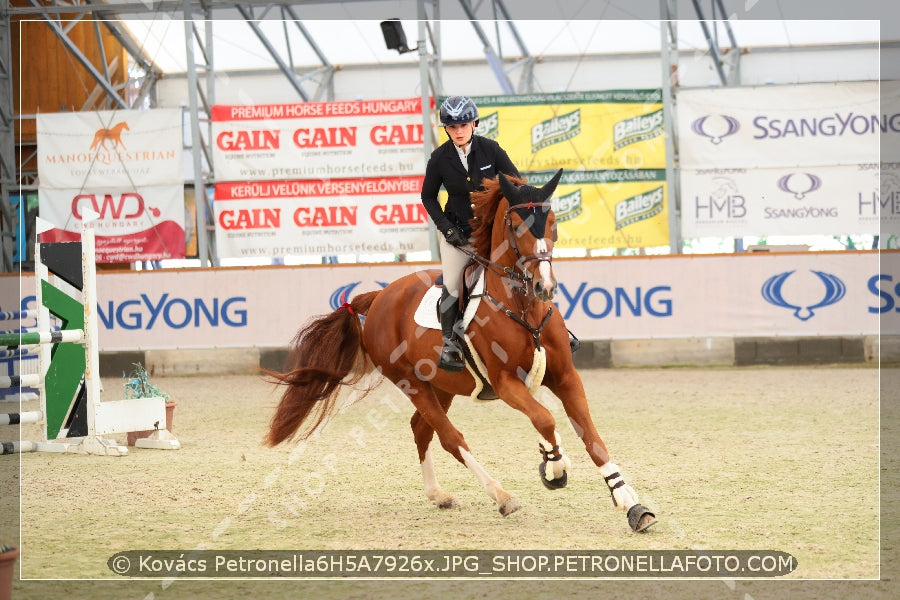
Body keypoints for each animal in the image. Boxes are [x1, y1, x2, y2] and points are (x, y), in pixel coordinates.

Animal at [264, 170, 656, 536]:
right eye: (516, 226)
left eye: (554, 223)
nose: (545, 287)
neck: (523, 305)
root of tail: (379, 297)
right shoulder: (505, 382)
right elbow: (545, 418)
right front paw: (555, 467)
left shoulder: (565, 376)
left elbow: (590, 435)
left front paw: (630, 503)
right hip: (410, 383)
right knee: (450, 438)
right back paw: (501, 496)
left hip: (442, 386)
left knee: (421, 429)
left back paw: (438, 494)